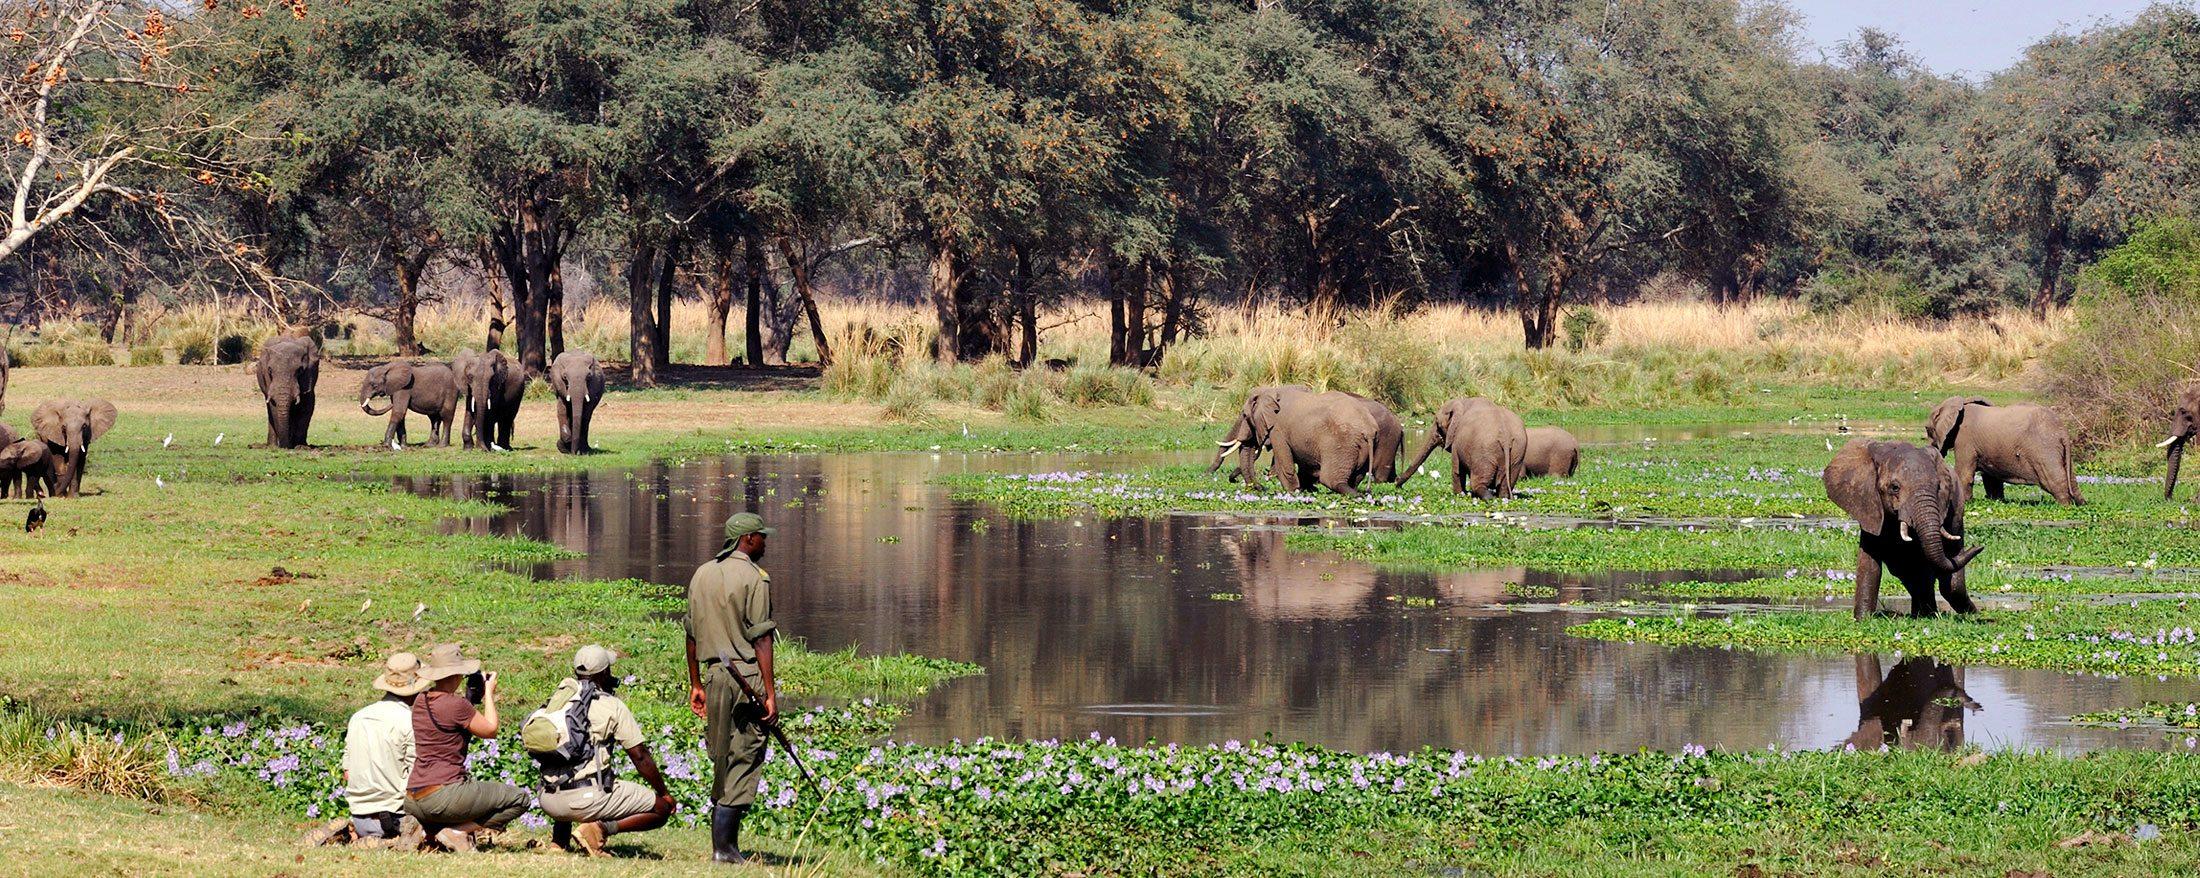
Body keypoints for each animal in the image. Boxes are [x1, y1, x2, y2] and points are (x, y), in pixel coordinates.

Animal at [1812, 437, 1988, 620]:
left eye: (1938, 487)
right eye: (1894, 487)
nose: (1979, 547)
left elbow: (1923, 566)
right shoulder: (1868, 505)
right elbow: (1869, 563)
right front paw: (1862, 620)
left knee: (1949, 583)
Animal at [1927, 398, 2076, 508]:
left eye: (1927, 429)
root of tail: (2063, 431)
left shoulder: (1965, 439)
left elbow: (1964, 474)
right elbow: (1990, 477)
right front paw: (1995, 500)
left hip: (2044, 449)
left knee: (2054, 479)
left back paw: (2065, 506)